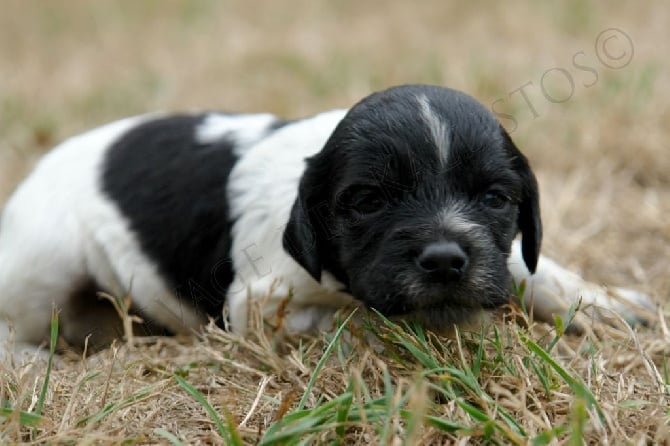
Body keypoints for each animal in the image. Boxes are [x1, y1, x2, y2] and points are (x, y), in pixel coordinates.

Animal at [0, 83, 652, 352]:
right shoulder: (259, 305)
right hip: (46, 266)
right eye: (368, 202)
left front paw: (607, 303)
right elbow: (359, 319)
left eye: (495, 198)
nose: (445, 260)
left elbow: (524, 265)